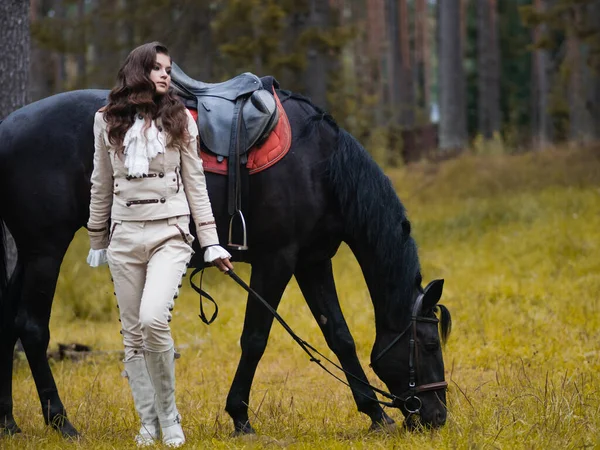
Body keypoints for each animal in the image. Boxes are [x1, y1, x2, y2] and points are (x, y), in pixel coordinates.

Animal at [0, 88, 450, 436]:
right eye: (429, 344)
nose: (437, 416)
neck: (322, 166)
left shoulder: (313, 262)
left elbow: (339, 336)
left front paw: (374, 413)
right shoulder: (276, 261)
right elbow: (255, 339)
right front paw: (240, 417)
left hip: (29, 253)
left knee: (9, 323)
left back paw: (9, 422)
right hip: (46, 250)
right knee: (33, 328)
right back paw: (61, 422)